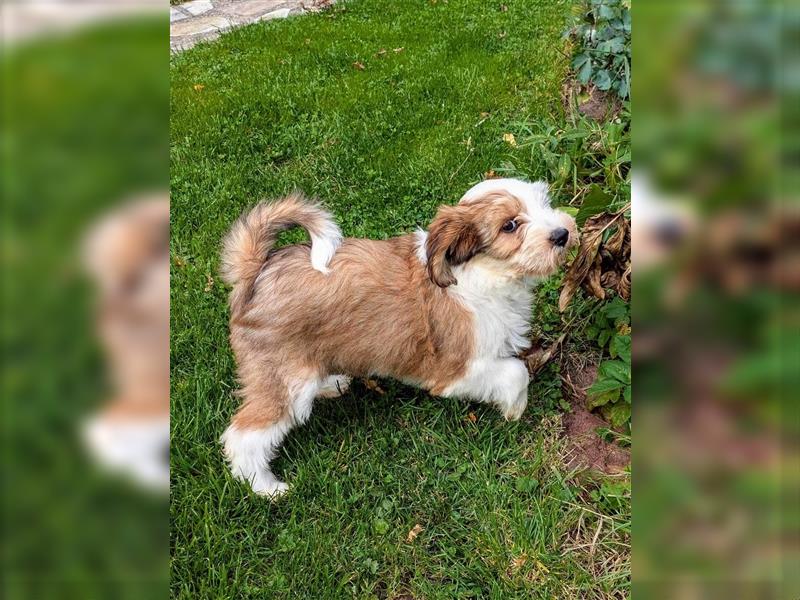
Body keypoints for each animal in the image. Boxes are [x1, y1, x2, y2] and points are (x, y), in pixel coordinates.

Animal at [222, 178, 580, 496]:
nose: (562, 234)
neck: (480, 273)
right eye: (510, 225)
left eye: (545, 203)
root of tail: (257, 269)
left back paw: (332, 382)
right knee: (244, 436)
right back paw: (265, 488)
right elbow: (516, 372)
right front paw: (514, 409)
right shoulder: (456, 370)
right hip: (284, 381)